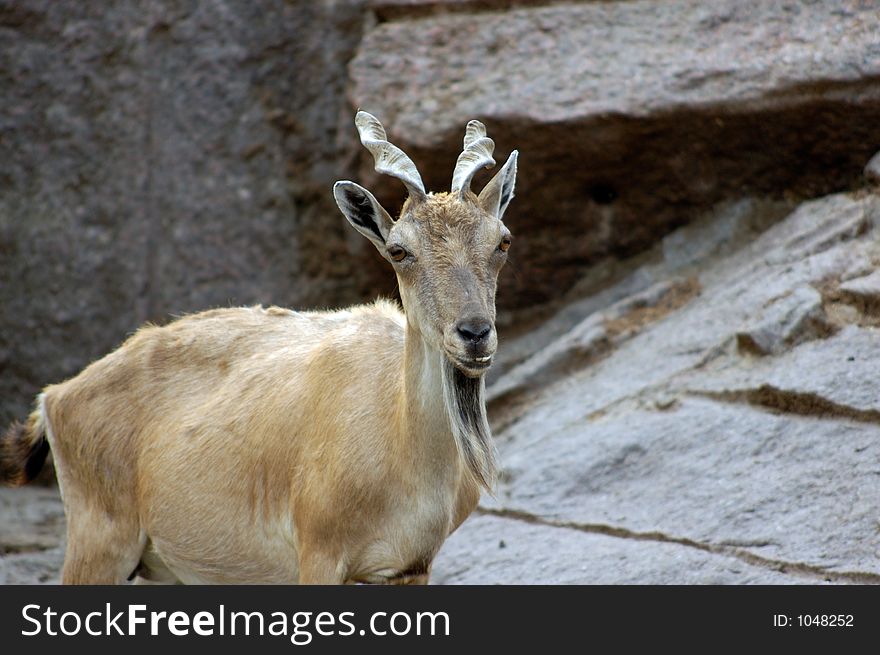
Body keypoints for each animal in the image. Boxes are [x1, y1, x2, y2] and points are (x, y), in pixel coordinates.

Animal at [0, 111, 520, 584]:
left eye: (502, 241)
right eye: (398, 250)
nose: (474, 334)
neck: (403, 442)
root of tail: (55, 398)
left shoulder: (410, 569)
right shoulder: (319, 553)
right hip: (99, 543)